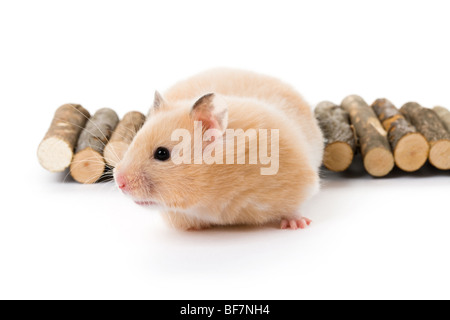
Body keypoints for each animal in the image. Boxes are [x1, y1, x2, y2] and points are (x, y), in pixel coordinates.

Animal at [113, 69, 324, 231]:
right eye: (133, 141)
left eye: (162, 153)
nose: (119, 182)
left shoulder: (299, 178)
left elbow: (294, 207)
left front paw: (298, 224)